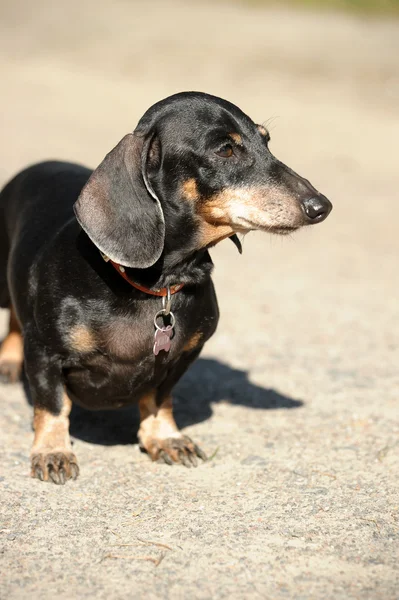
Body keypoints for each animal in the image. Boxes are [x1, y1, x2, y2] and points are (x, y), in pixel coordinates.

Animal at [0, 92, 332, 482]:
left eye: (266, 141)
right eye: (224, 150)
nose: (321, 206)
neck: (156, 283)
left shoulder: (183, 356)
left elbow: (159, 398)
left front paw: (164, 438)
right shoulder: (44, 352)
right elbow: (52, 404)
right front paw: (52, 452)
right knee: (14, 317)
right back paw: (8, 361)